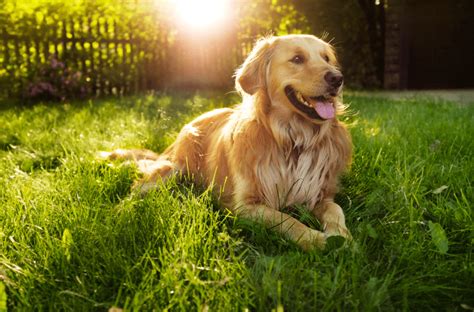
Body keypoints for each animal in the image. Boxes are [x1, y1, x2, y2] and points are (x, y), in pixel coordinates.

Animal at [104, 34, 352, 250]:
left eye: (326, 58)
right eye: (298, 59)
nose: (337, 78)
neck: (293, 140)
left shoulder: (319, 193)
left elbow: (335, 209)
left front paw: (341, 235)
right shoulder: (245, 205)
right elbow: (285, 219)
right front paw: (314, 239)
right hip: (172, 170)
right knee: (135, 190)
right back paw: (119, 214)